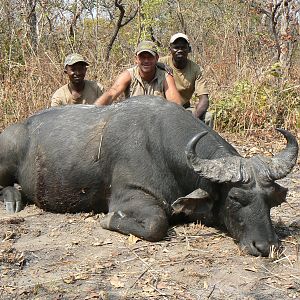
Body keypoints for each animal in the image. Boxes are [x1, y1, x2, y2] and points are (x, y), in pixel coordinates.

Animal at [0, 96, 298, 255]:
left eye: (270, 200)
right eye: (235, 198)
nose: (267, 246)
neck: (159, 144)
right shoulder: (130, 197)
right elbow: (156, 223)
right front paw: (108, 220)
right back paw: (12, 200)